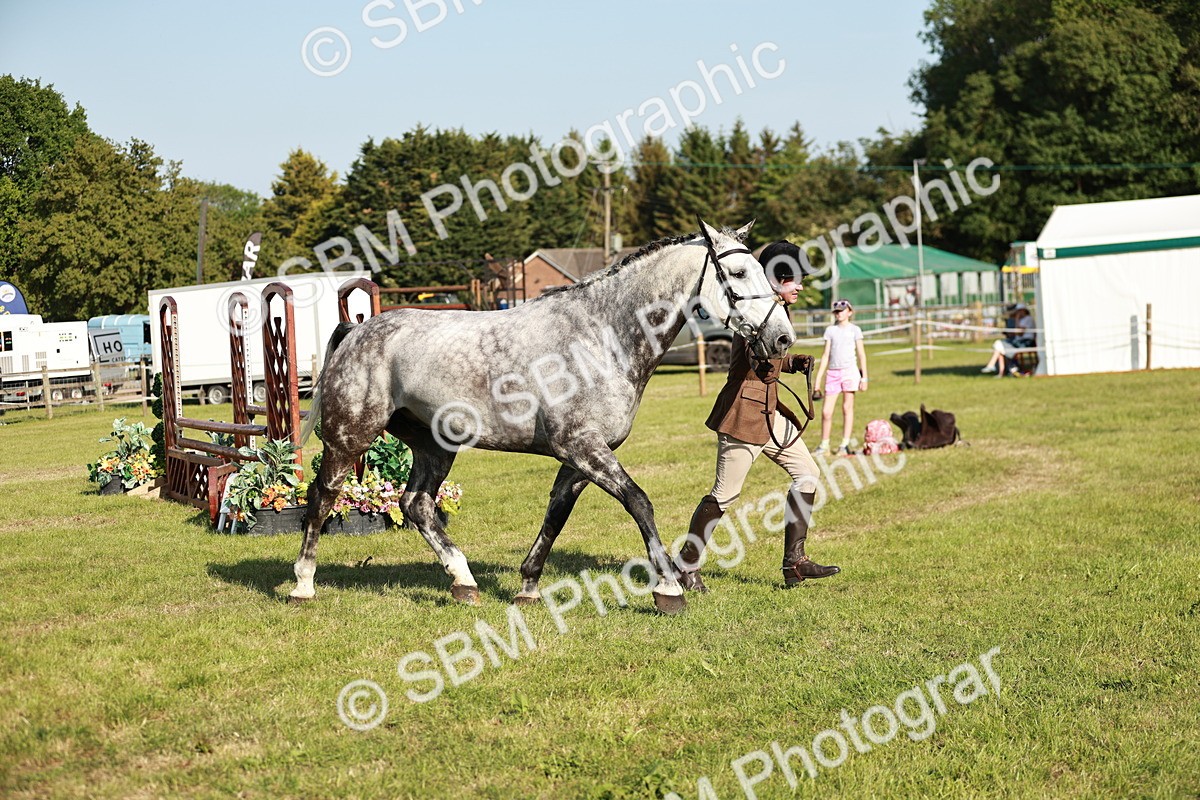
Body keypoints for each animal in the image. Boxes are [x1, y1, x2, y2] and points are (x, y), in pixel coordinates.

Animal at [293, 220, 795, 614]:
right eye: (737, 272)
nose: (783, 338)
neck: (602, 336)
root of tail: (357, 330)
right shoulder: (581, 446)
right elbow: (639, 502)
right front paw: (669, 588)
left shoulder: (580, 458)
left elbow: (556, 516)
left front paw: (528, 587)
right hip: (350, 437)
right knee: (322, 497)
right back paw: (303, 584)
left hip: (433, 445)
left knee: (416, 504)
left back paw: (464, 582)